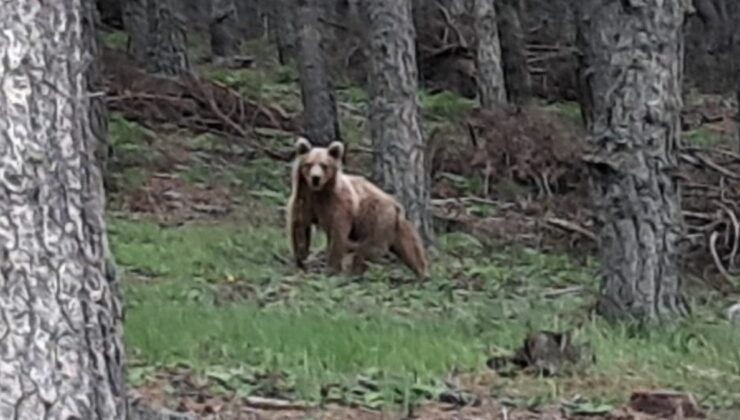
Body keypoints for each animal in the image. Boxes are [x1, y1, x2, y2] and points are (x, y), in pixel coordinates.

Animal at [288, 136, 428, 278]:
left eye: (324, 165)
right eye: (309, 164)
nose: (315, 178)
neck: (319, 192)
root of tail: (395, 204)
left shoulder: (339, 205)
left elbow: (337, 234)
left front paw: (331, 269)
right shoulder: (304, 199)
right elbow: (300, 228)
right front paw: (301, 262)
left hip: (376, 218)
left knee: (371, 247)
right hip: (394, 226)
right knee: (409, 248)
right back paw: (421, 272)